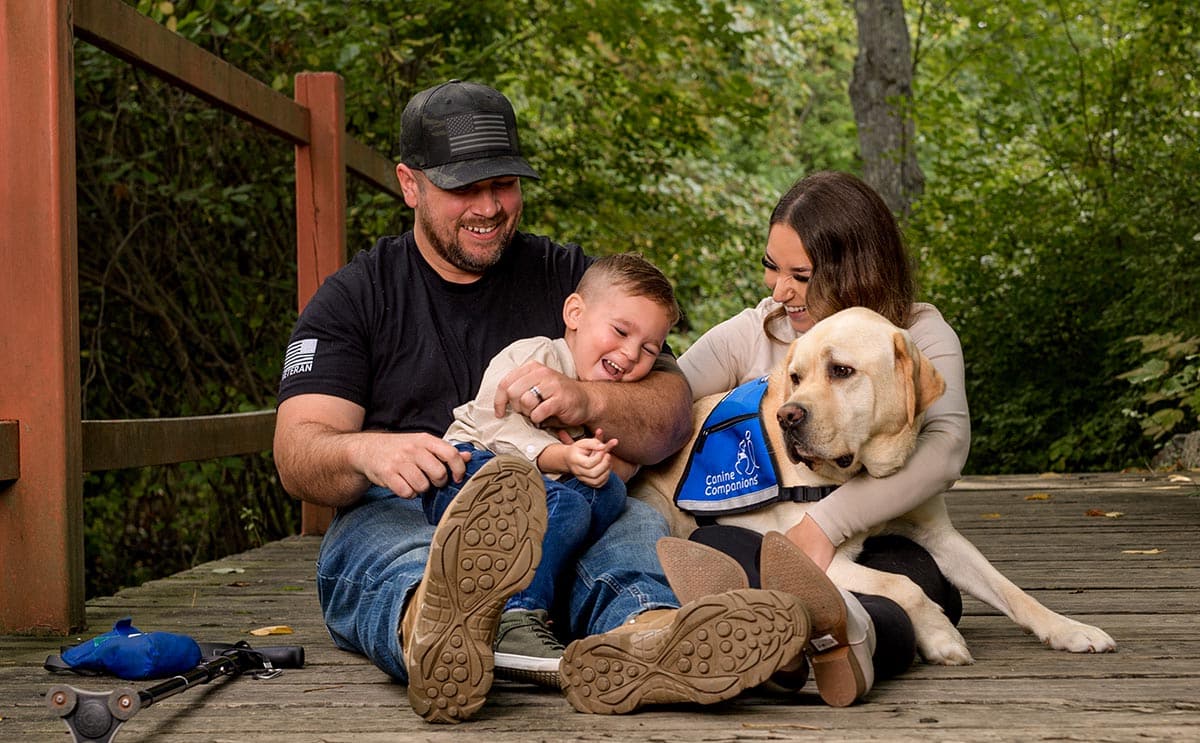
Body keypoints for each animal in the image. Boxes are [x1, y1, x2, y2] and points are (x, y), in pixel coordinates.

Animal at [638, 304, 1113, 667]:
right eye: (796, 377)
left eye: (841, 370)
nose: (788, 416)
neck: (864, 473)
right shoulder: (812, 552)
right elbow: (901, 585)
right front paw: (941, 636)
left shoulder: (940, 536)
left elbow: (1010, 589)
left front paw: (1069, 629)